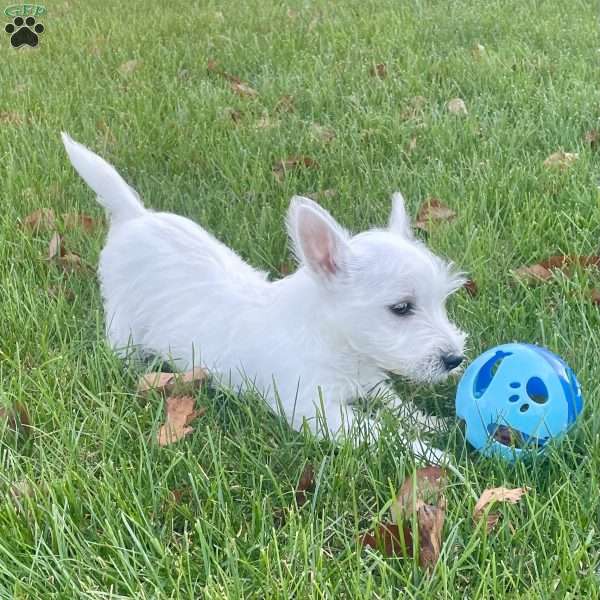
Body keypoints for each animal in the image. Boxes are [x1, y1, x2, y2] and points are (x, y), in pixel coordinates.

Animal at [61, 132, 466, 460]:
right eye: (402, 308)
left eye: (441, 300)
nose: (455, 359)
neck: (336, 344)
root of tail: (134, 216)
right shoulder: (321, 414)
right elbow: (381, 434)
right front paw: (437, 456)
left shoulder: (369, 379)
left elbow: (394, 403)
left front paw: (431, 422)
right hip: (122, 323)